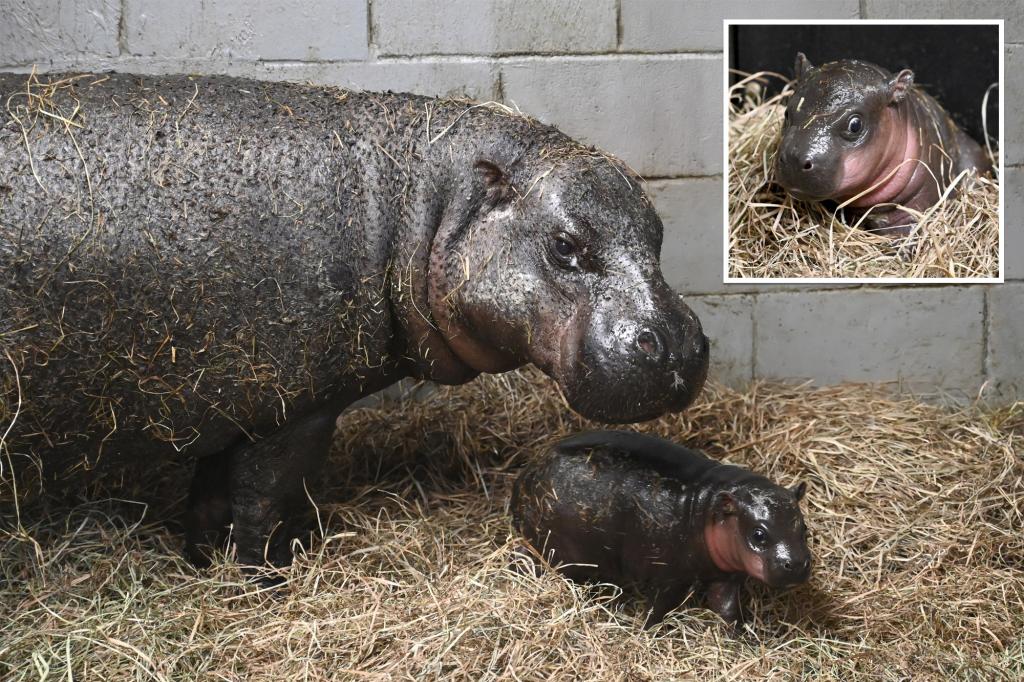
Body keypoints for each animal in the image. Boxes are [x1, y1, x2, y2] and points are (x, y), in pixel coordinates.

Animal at [0, 73, 704, 569]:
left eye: (659, 231)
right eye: (564, 245)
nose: (678, 345)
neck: (423, 203)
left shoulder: (231, 401)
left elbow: (209, 499)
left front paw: (202, 564)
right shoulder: (291, 410)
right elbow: (260, 503)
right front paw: (263, 579)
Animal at [509, 430, 806, 626]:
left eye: (804, 528)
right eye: (759, 534)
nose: (797, 563)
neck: (708, 509)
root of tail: (526, 474)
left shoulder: (725, 575)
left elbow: (727, 607)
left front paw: (741, 635)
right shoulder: (670, 577)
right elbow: (659, 608)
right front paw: (646, 630)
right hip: (558, 550)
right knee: (528, 557)